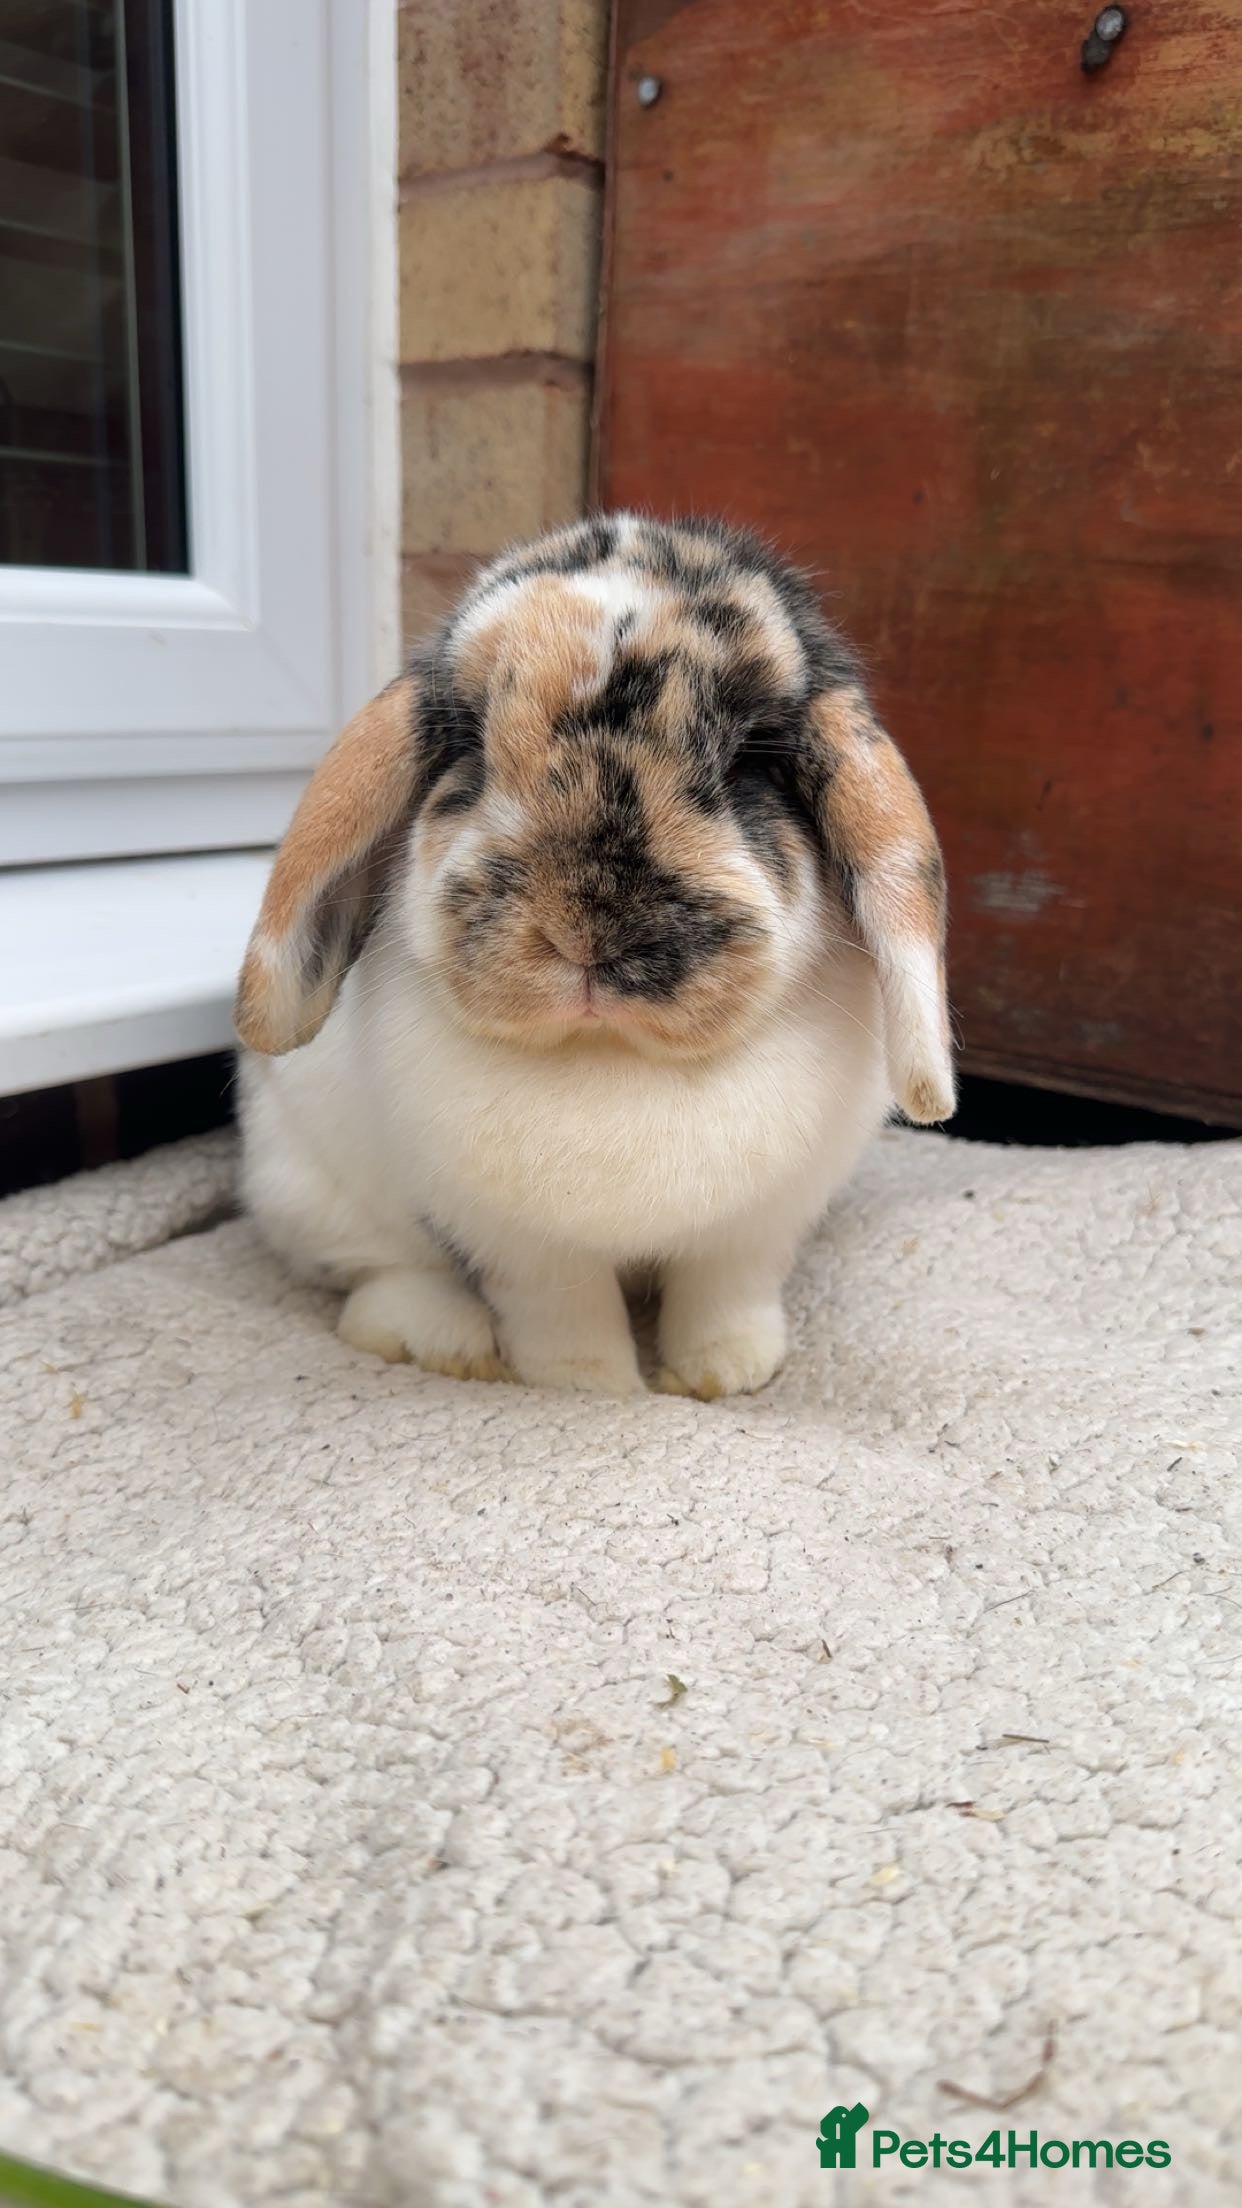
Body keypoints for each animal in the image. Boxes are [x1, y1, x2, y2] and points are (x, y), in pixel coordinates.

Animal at [234, 513, 954, 1398]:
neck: (613, 1053)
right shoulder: (527, 1248)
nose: (587, 930)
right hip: (309, 1190)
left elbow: (725, 1295)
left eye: (752, 762)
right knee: (376, 1274)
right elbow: (566, 1315)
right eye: (470, 749)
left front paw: (724, 1375)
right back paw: (444, 1343)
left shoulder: (756, 1229)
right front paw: (590, 1388)